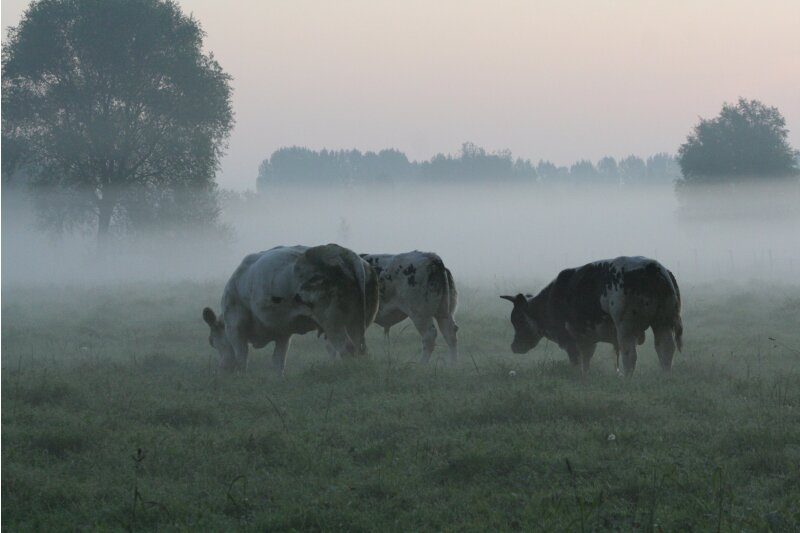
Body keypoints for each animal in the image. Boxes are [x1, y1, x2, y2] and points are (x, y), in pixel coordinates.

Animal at [203, 244, 379, 375]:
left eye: (212, 341)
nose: (222, 369)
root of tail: (347, 254)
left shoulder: (235, 327)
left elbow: (241, 358)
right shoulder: (283, 332)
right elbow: (278, 362)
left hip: (332, 323)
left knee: (347, 348)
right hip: (357, 322)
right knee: (359, 349)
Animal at [501, 256, 682, 376]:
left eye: (517, 319)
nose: (514, 346)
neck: (553, 296)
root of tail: (652, 268)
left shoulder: (570, 338)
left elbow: (577, 360)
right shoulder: (587, 338)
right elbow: (586, 359)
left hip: (626, 327)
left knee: (629, 355)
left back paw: (627, 378)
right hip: (663, 322)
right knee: (665, 349)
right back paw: (665, 375)